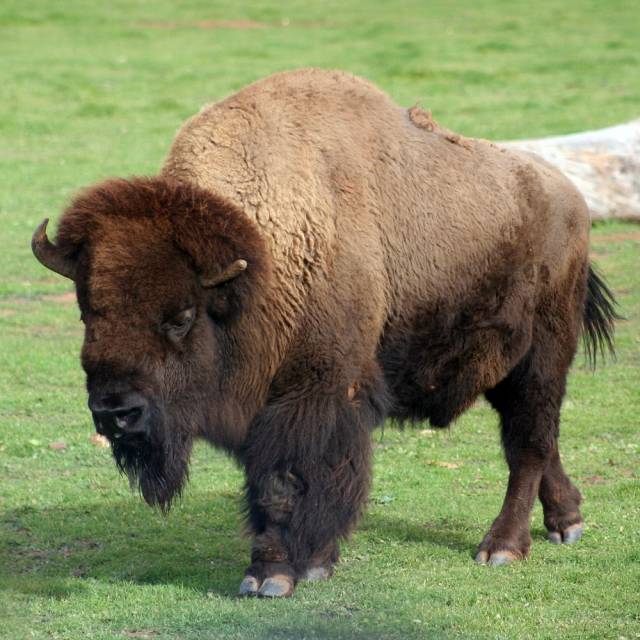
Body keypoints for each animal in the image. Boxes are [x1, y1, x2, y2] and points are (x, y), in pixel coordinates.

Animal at [32, 70, 616, 600]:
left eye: (181, 316)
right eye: (87, 311)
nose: (115, 413)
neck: (259, 267)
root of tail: (570, 198)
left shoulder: (309, 397)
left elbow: (284, 485)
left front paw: (270, 577)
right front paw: (311, 563)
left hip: (541, 356)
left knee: (528, 445)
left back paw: (501, 548)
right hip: (506, 367)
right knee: (539, 438)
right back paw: (567, 521)